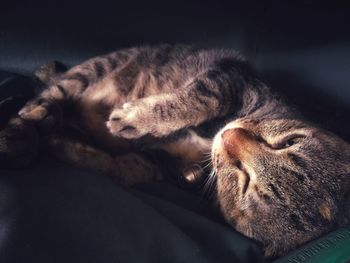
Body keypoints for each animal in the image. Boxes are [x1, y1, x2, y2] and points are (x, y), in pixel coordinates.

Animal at [1, 43, 348, 258]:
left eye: (245, 184)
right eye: (288, 142)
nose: (231, 134)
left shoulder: (157, 165)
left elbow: (119, 168)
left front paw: (68, 148)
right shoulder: (229, 77)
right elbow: (201, 99)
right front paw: (133, 118)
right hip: (96, 67)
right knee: (50, 93)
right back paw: (25, 127)